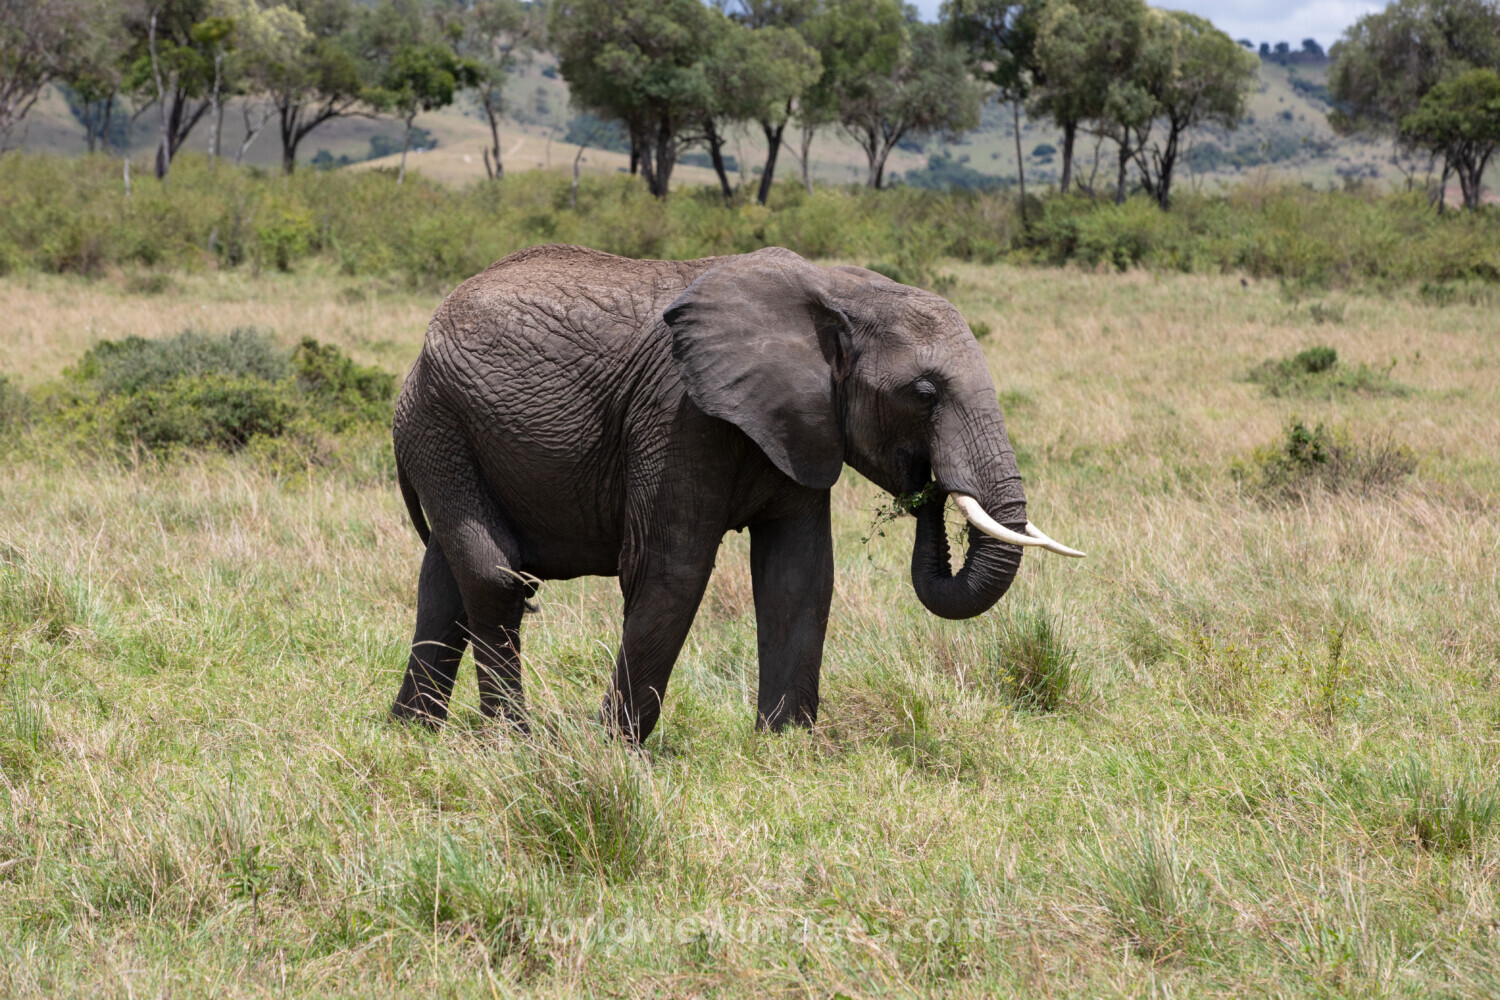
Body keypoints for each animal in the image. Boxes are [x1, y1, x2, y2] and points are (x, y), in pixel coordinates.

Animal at [390, 244, 1081, 741]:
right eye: (925, 393)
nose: (929, 489)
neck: (836, 291)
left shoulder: (799, 422)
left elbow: (799, 575)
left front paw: (784, 745)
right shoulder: (678, 416)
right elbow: (669, 569)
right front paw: (614, 747)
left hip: (443, 431)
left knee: (445, 578)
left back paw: (412, 731)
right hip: (440, 421)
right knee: (493, 573)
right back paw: (512, 739)